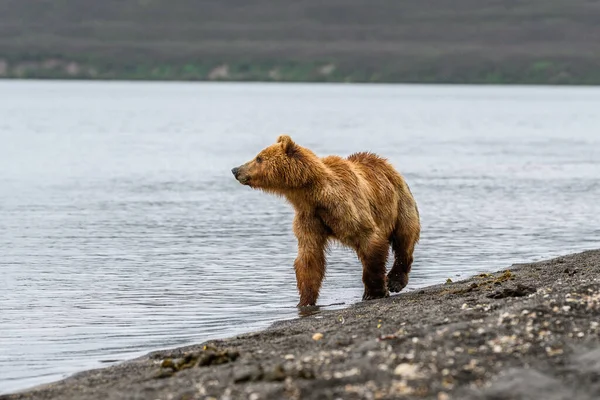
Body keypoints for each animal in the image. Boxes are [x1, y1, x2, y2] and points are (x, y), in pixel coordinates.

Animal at [232, 136, 420, 308]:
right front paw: (305, 301)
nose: (235, 170)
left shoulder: (347, 208)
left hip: (400, 201)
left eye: (259, 158)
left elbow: (370, 241)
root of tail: (384, 162)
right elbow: (309, 258)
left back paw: (395, 281)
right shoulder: (309, 218)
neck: (313, 195)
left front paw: (374, 293)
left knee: (405, 237)